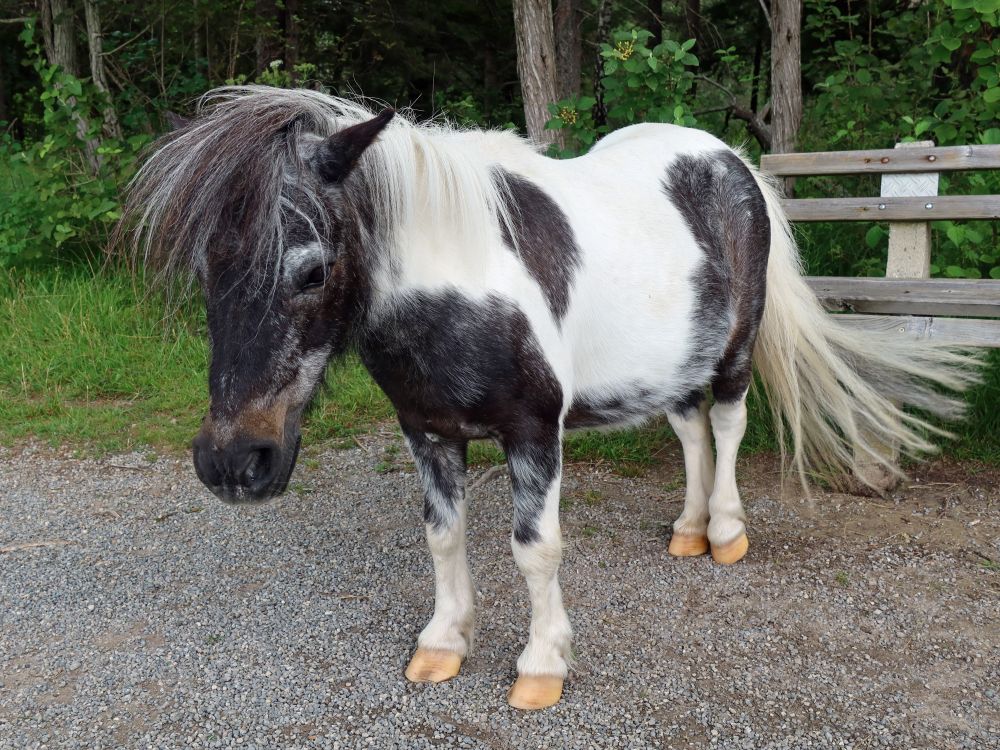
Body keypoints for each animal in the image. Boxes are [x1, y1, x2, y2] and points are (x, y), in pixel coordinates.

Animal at [123, 88, 976, 712]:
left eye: (311, 269)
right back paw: (689, 531)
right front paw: (443, 644)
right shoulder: (427, 431)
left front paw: (541, 665)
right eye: (205, 269)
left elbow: (534, 548)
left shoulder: (534, 433)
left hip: (735, 349)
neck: (461, 283)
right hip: (669, 364)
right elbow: (443, 538)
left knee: (728, 425)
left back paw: (726, 532)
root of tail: (732, 161)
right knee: (691, 432)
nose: (234, 463)